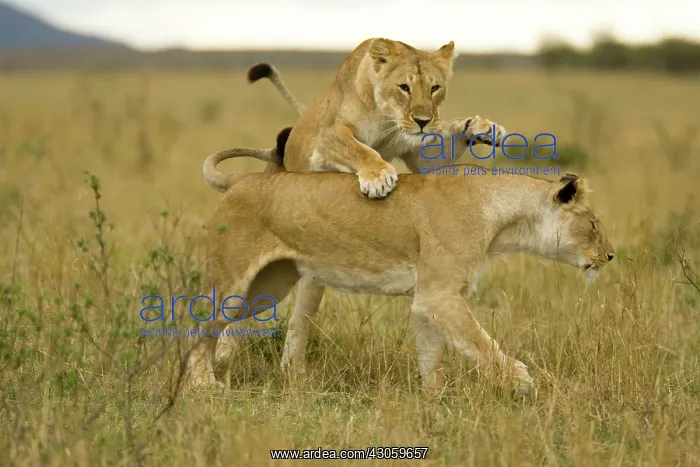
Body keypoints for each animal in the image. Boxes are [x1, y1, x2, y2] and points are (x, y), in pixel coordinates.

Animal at [187, 145, 615, 397]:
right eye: (594, 224)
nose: (611, 256)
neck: (503, 214)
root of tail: (241, 179)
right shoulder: (441, 294)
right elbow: (479, 341)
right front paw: (520, 380)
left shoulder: (430, 298)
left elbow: (432, 354)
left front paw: (435, 401)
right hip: (231, 280)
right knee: (198, 326)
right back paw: (204, 385)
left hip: (268, 286)